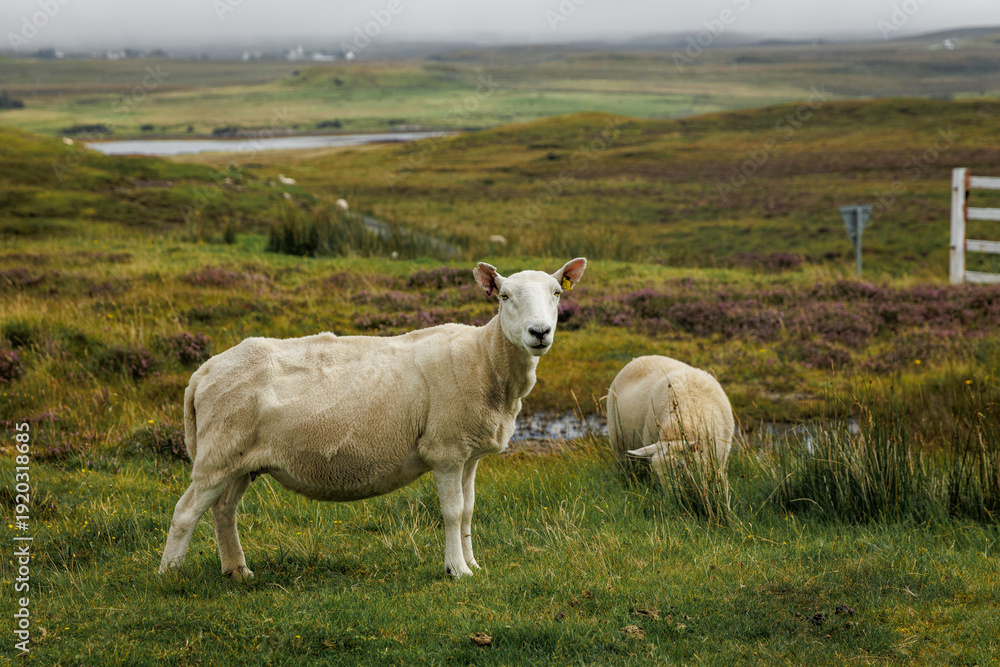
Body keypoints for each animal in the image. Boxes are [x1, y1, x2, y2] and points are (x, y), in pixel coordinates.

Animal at [159, 258, 587, 580]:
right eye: (504, 295)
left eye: (557, 293)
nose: (539, 332)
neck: (483, 359)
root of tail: (203, 372)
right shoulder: (446, 450)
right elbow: (451, 512)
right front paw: (457, 570)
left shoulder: (469, 453)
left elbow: (467, 510)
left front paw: (473, 564)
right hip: (218, 452)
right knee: (185, 512)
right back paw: (171, 574)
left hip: (239, 459)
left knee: (223, 510)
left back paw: (237, 571)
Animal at [606, 355, 734, 491]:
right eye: (657, 472)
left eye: (680, 465)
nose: (671, 493)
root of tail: (638, 358)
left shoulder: (719, 459)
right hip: (619, 442)